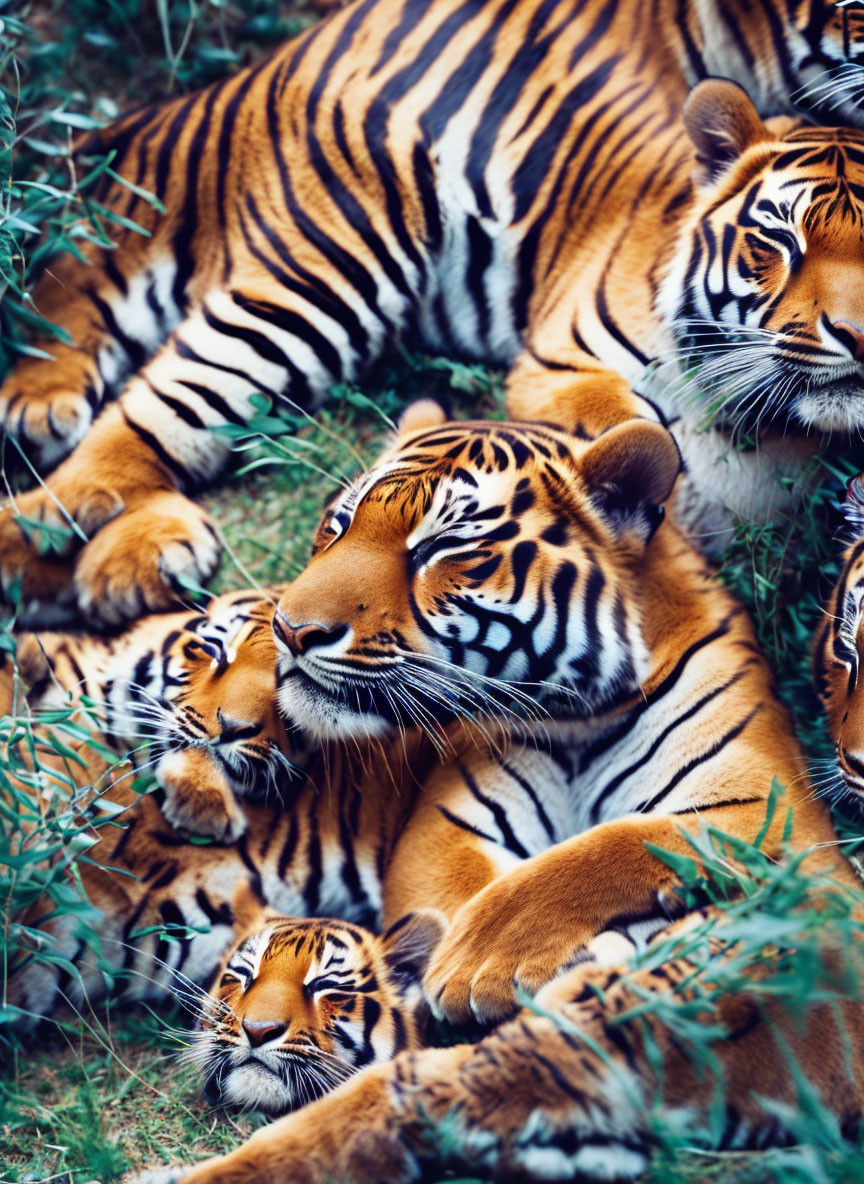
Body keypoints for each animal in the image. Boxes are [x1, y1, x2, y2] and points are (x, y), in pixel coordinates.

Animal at [5, 0, 861, 625]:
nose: (853, 334)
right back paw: (67, 537)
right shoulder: (557, 364)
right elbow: (632, 432)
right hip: (337, 260)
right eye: (780, 239)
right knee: (147, 401)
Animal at [127, 402, 864, 1179]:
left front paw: (475, 961)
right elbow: (467, 890)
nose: (290, 630)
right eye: (339, 524)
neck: (578, 722)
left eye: (440, 547)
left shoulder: (774, 815)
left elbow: (624, 841)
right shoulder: (447, 827)